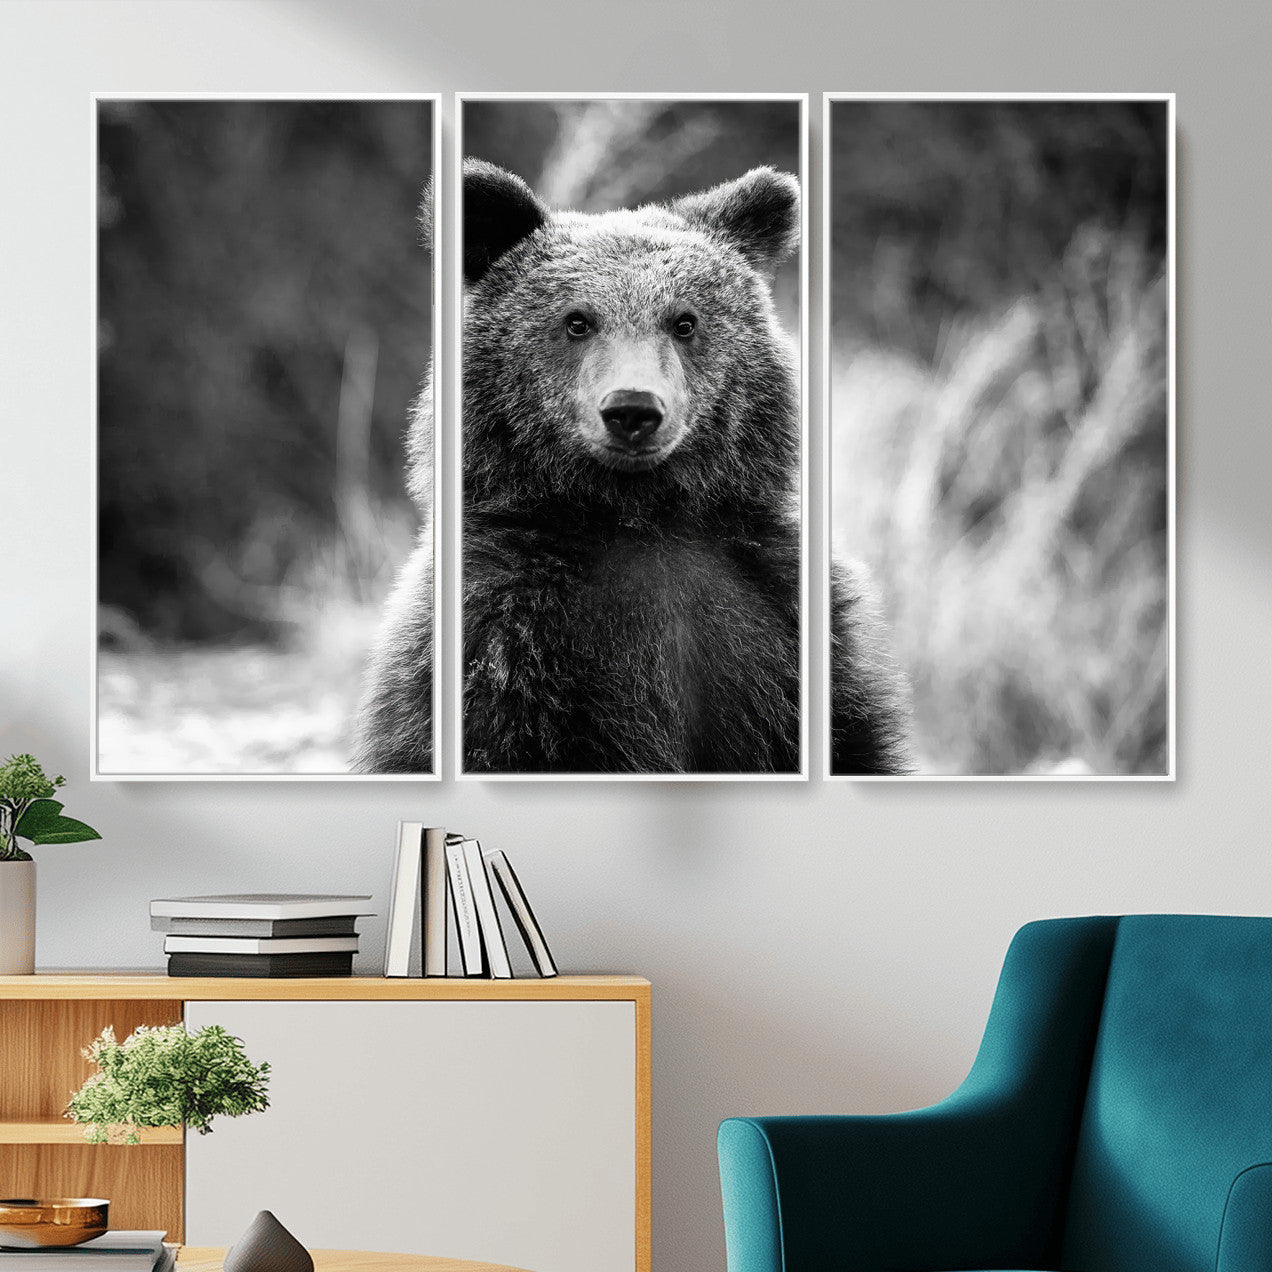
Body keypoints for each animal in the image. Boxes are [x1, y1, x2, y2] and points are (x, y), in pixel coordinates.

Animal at [354, 158, 911, 775]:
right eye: (577, 321)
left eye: (684, 321)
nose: (633, 410)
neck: (640, 516)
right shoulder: (504, 637)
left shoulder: (780, 616)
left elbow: (852, 738)